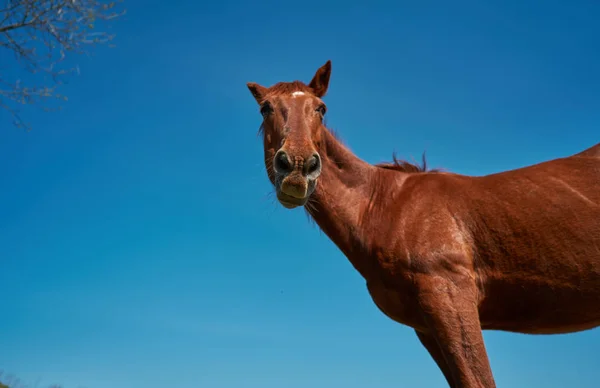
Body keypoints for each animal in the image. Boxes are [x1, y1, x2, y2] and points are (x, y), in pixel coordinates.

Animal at [245, 60, 600, 388]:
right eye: (265, 108)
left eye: (321, 109)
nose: (297, 167)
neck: (386, 205)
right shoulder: (427, 326)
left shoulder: (451, 297)